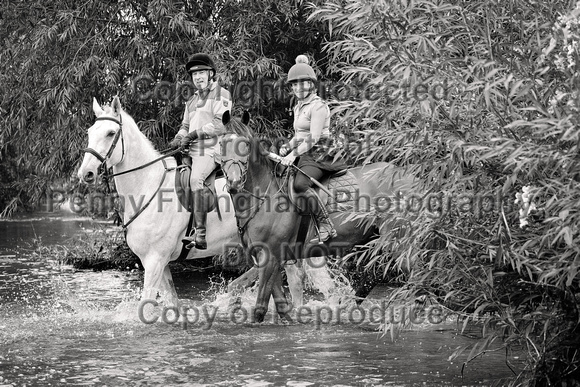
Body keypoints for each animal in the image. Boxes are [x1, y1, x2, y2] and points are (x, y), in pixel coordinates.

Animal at [222, 111, 422, 322]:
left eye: (245, 144)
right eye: (222, 144)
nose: (234, 183)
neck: (265, 198)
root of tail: (412, 177)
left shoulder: (270, 255)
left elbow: (260, 307)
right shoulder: (268, 255)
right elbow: (279, 303)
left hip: (399, 240)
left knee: (416, 275)